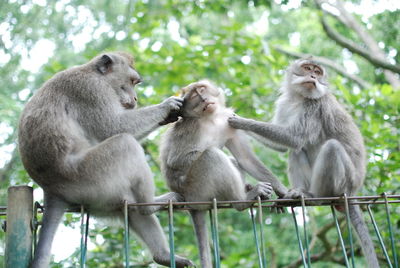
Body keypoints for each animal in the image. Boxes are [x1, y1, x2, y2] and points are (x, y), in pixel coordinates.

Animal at [18, 51, 194, 266]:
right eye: (132, 81)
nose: (135, 98)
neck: (97, 75)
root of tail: (51, 190)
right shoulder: (91, 90)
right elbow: (113, 127)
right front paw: (167, 106)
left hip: (99, 195)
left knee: (130, 207)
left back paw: (163, 255)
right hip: (90, 175)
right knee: (125, 144)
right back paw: (151, 205)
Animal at [159, 80, 288, 268]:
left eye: (202, 89)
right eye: (194, 96)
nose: (204, 99)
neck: (211, 119)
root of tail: (188, 200)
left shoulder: (228, 123)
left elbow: (244, 158)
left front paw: (284, 192)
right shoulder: (192, 127)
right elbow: (176, 162)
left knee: (231, 160)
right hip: (196, 190)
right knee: (211, 155)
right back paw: (243, 200)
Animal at [228, 58, 378, 268]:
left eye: (318, 71)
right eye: (307, 68)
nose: (313, 76)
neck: (299, 98)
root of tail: (353, 191)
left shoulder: (315, 106)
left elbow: (294, 138)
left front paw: (241, 121)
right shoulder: (284, 103)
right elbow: (285, 147)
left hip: (345, 182)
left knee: (330, 148)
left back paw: (315, 196)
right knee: (297, 152)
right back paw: (296, 193)